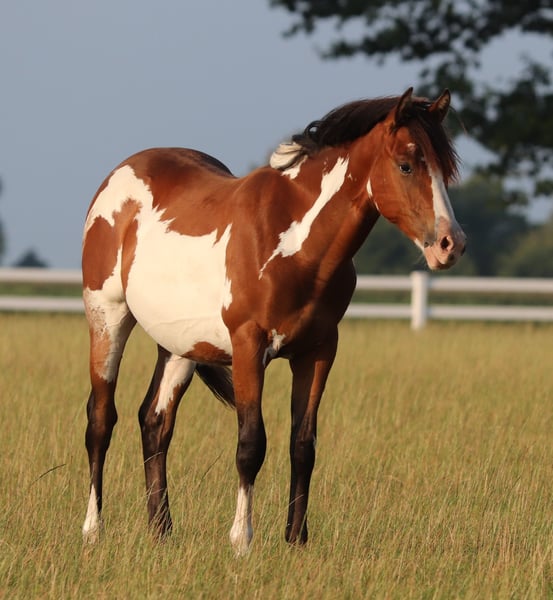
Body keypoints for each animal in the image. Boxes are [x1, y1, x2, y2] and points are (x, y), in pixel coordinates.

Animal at [81, 87, 466, 556]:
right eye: (406, 164)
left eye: (444, 169)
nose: (450, 244)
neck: (295, 244)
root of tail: (119, 175)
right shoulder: (249, 347)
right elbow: (251, 444)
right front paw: (241, 540)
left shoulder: (318, 352)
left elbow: (303, 446)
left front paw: (296, 540)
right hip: (108, 319)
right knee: (101, 419)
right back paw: (93, 530)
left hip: (178, 345)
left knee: (155, 422)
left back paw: (162, 532)